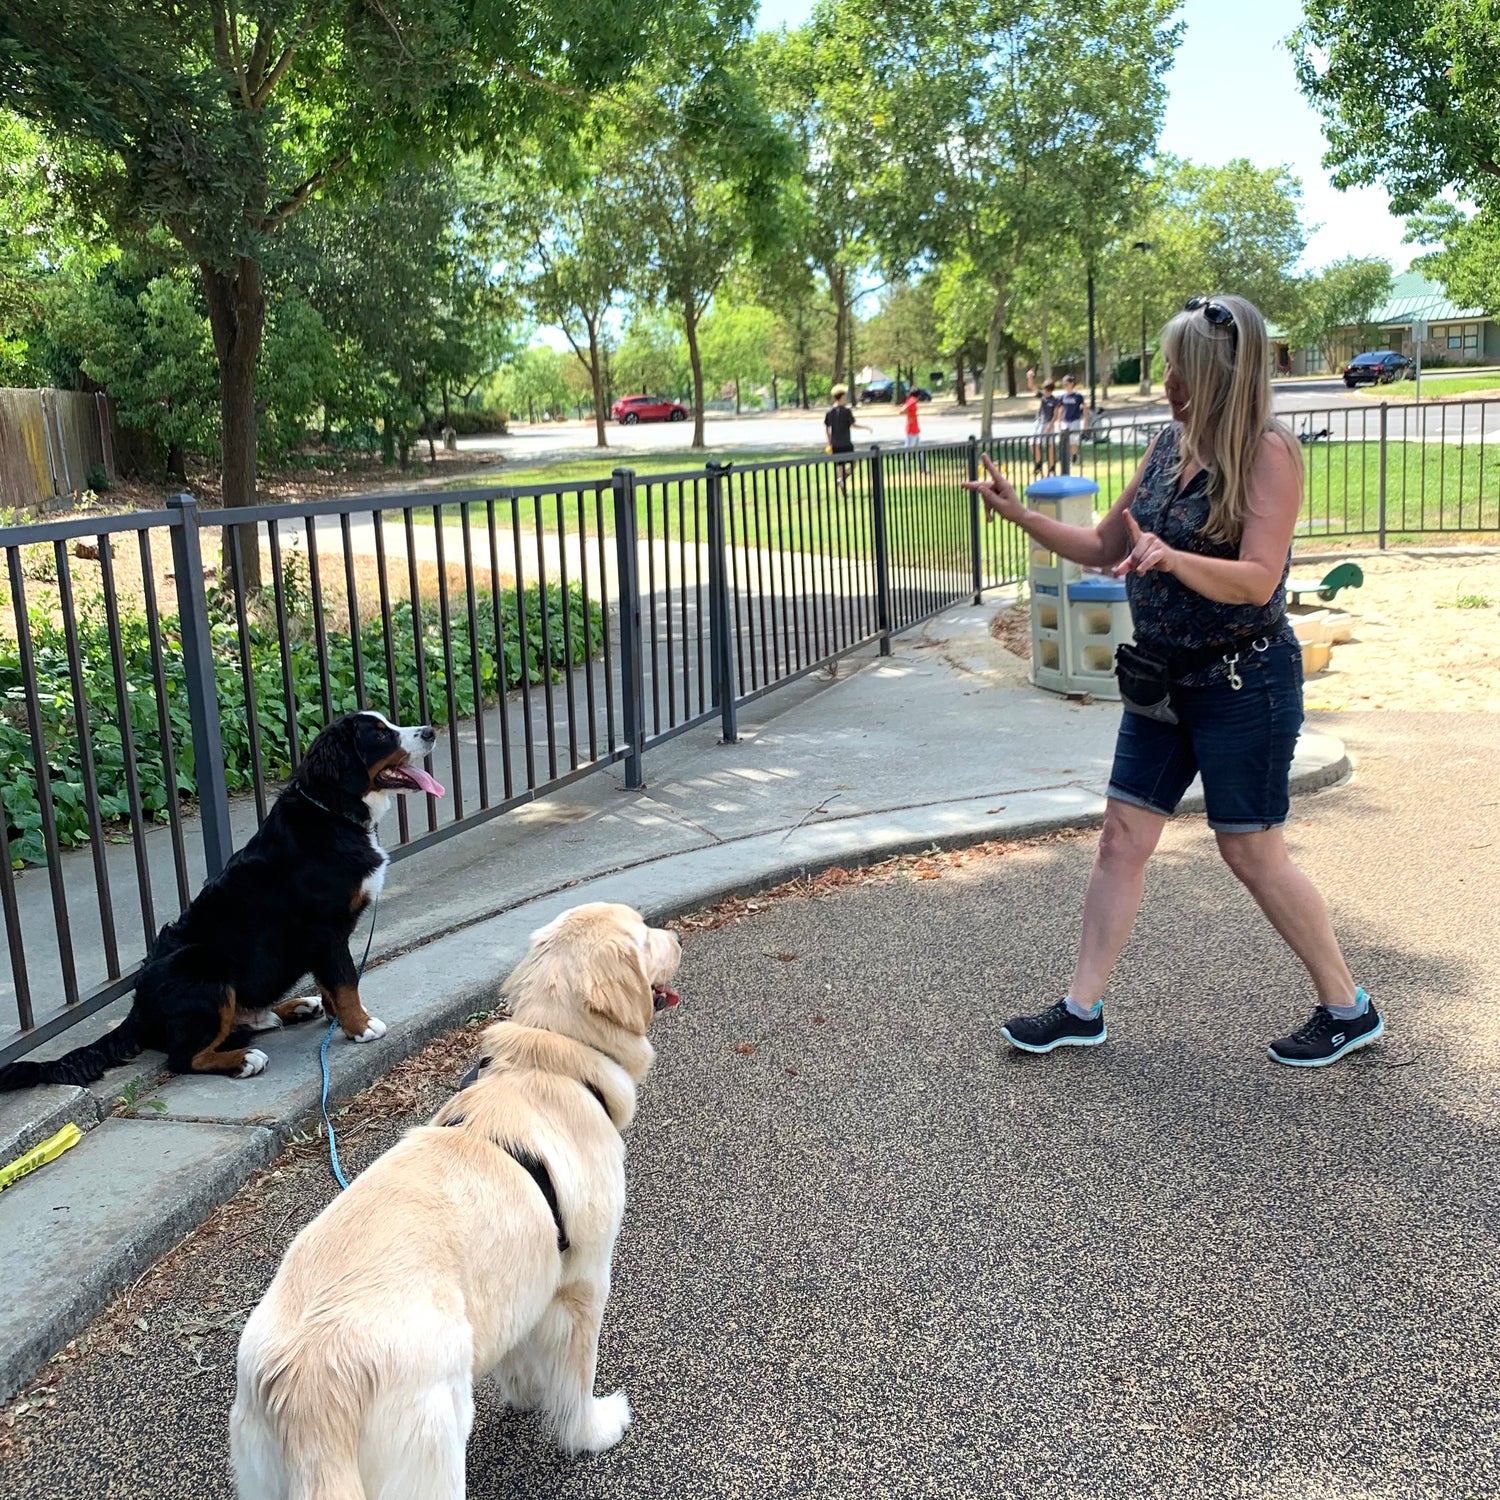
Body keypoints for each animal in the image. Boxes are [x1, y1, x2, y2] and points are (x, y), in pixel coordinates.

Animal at [0, 711, 444, 1092]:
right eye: (380, 735)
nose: (430, 731)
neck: (332, 812)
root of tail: (138, 1008)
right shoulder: (326, 930)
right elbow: (346, 980)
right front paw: (361, 1026)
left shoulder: (323, 939)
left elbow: (331, 981)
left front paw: (338, 1017)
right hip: (205, 966)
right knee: (184, 1057)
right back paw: (245, 1058)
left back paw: (291, 1009)